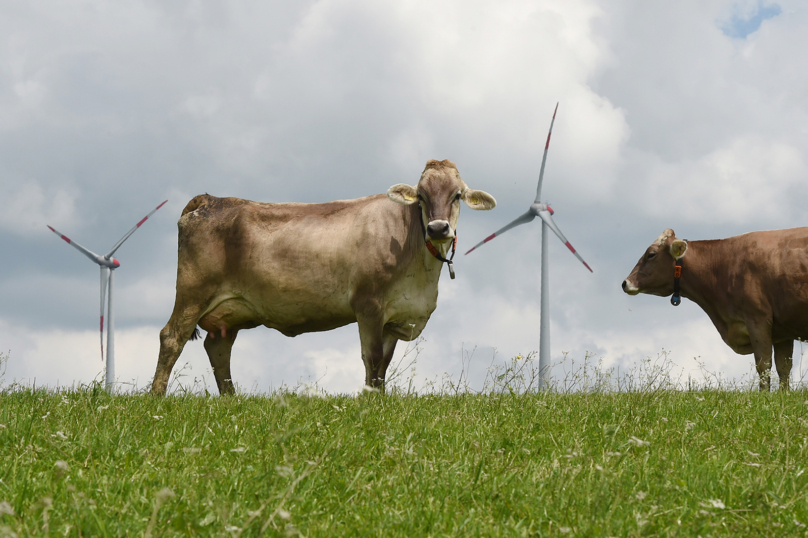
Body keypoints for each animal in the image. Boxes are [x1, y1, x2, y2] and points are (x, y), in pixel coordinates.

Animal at [148, 159, 496, 394]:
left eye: (457, 195)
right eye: (421, 196)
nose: (437, 228)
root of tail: (211, 199)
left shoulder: (396, 317)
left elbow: (383, 365)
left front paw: (379, 398)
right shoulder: (368, 305)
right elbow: (371, 359)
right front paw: (369, 401)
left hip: (230, 311)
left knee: (218, 348)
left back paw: (232, 399)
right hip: (193, 292)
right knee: (172, 337)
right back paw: (156, 398)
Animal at [620, 227, 808, 390]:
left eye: (651, 254)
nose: (625, 283)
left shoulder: (757, 319)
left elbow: (764, 365)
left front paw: (764, 398)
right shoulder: (782, 331)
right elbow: (784, 367)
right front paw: (783, 396)